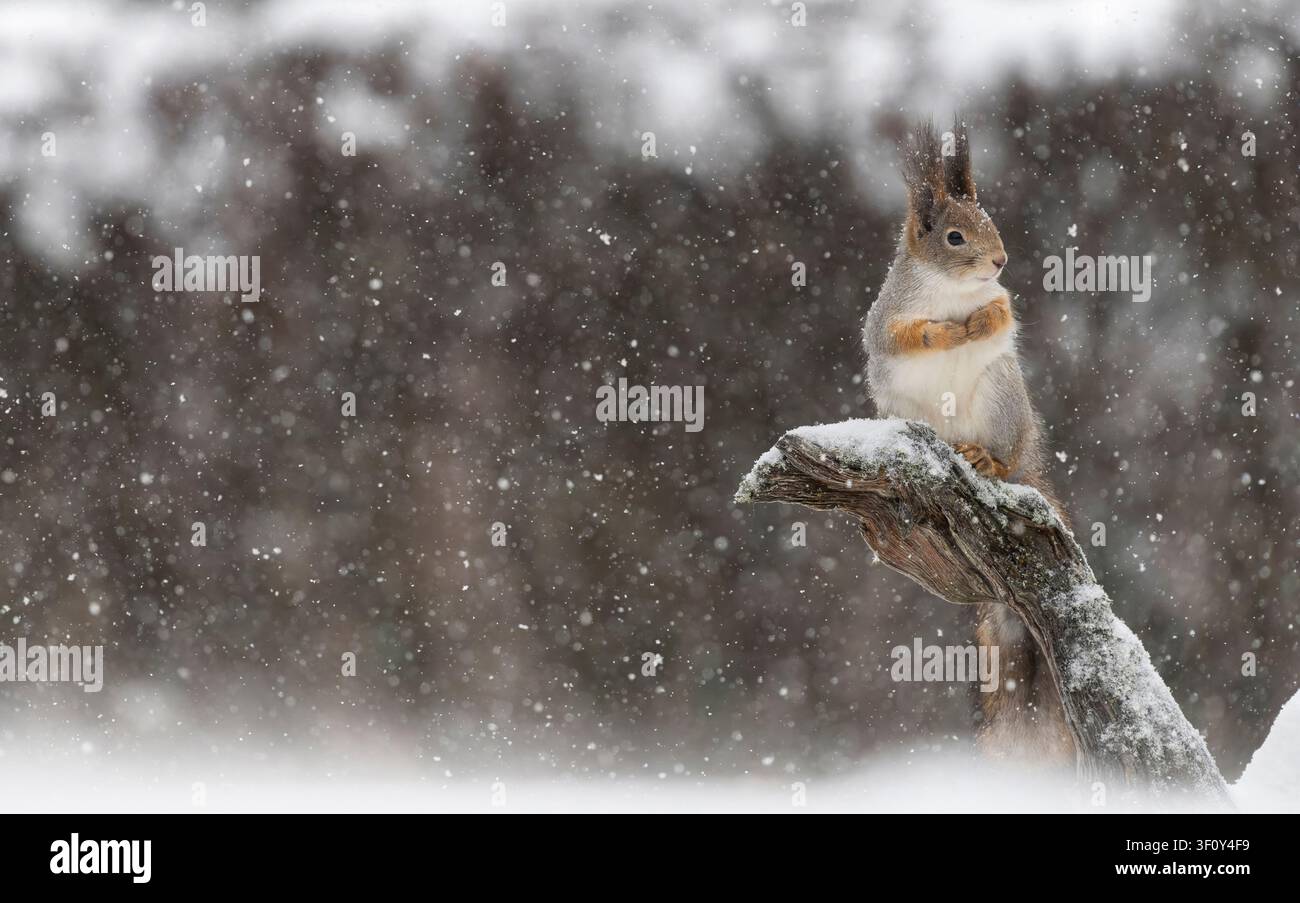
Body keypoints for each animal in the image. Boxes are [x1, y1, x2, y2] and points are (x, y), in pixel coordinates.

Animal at [863, 120, 1075, 764]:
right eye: (956, 236)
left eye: (992, 222)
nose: (1001, 260)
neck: (950, 290)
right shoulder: (887, 320)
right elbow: (907, 335)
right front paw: (944, 332)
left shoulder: (1001, 300)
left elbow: (1001, 313)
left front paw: (978, 323)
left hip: (1002, 397)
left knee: (1002, 459)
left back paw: (985, 457)